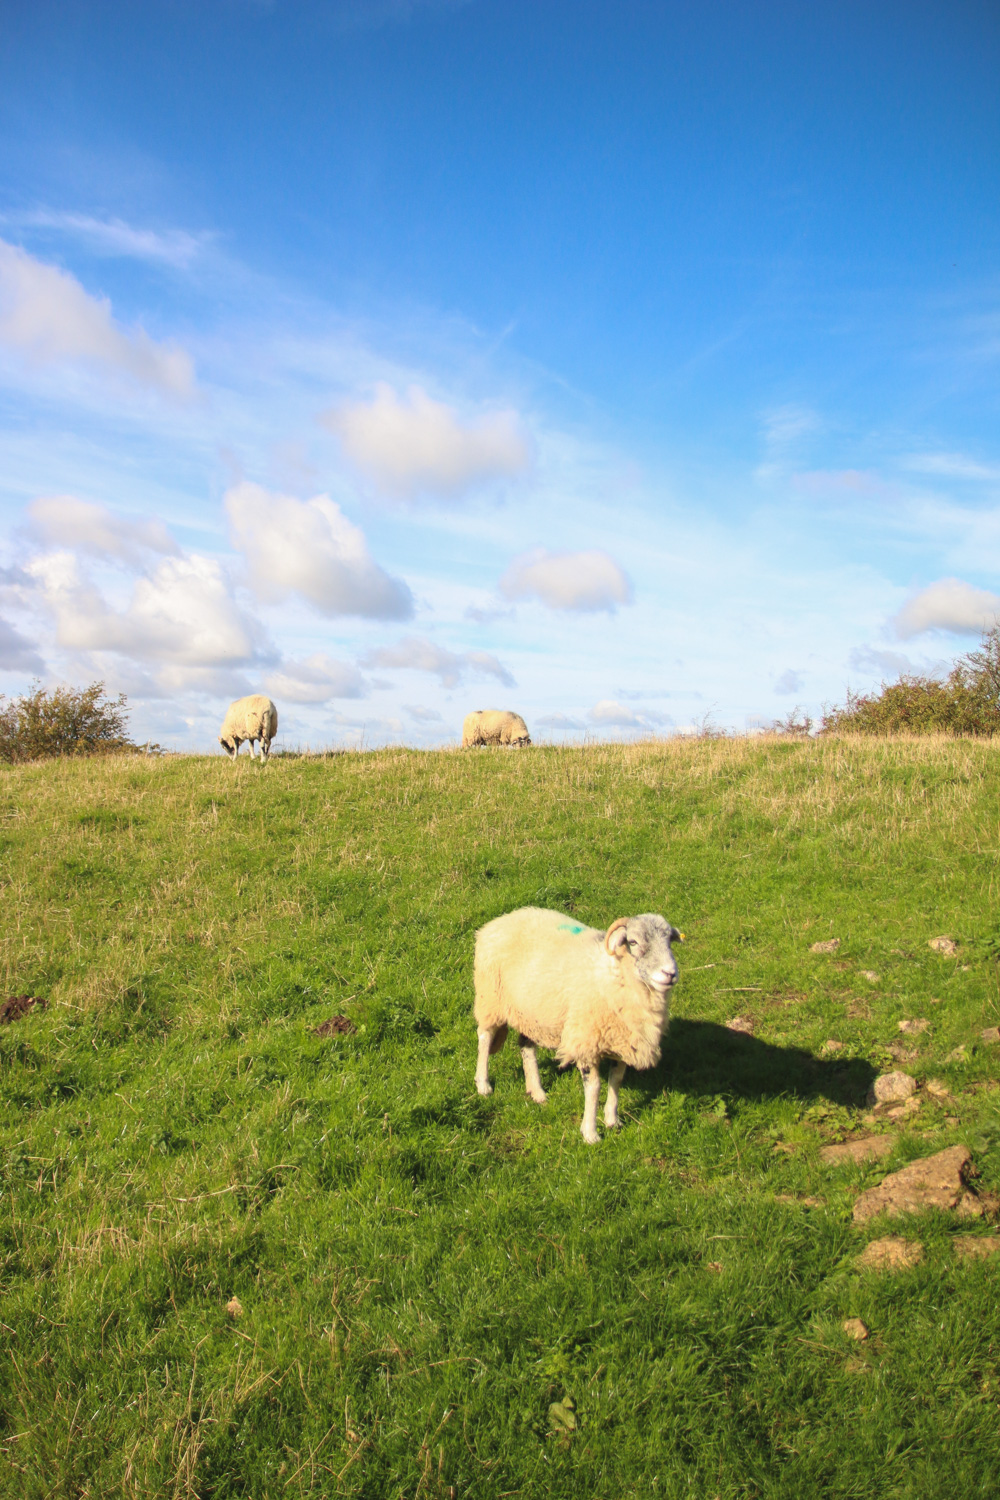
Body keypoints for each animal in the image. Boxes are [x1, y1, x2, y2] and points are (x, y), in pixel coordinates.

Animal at [476, 906, 680, 1140]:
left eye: (669, 941)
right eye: (633, 942)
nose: (670, 973)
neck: (614, 974)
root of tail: (499, 921)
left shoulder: (622, 1041)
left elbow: (616, 1080)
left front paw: (612, 1120)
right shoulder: (585, 1040)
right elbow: (594, 1088)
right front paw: (590, 1133)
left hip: (530, 1011)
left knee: (526, 1047)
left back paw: (536, 1091)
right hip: (490, 998)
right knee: (485, 1039)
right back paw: (483, 1084)